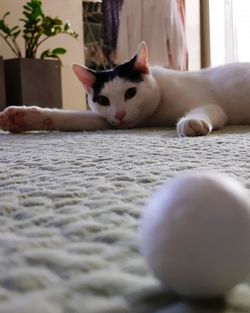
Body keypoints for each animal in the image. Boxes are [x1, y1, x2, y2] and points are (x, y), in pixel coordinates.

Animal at [0, 41, 250, 135]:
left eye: (131, 93)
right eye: (103, 101)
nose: (120, 114)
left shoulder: (210, 105)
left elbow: (205, 110)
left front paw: (191, 122)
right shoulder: (105, 120)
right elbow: (68, 117)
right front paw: (20, 118)